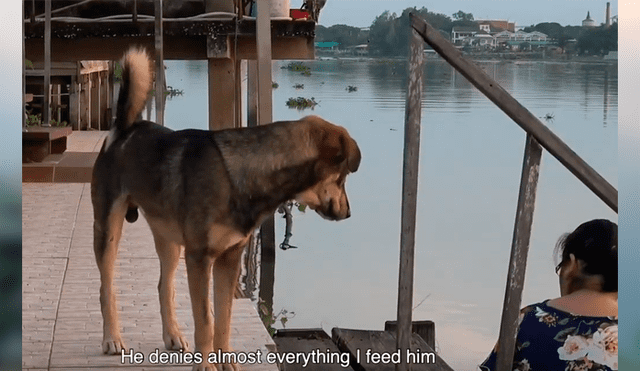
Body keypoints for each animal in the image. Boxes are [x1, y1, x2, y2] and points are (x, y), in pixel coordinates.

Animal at [89, 48, 360, 370]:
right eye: (342, 178)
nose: (348, 213)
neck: (243, 174)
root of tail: (123, 128)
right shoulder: (200, 258)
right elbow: (206, 320)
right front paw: (206, 364)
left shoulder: (229, 258)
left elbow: (224, 317)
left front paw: (226, 360)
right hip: (108, 230)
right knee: (106, 288)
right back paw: (111, 338)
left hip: (169, 241)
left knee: (164, 287)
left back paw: (173, 334)